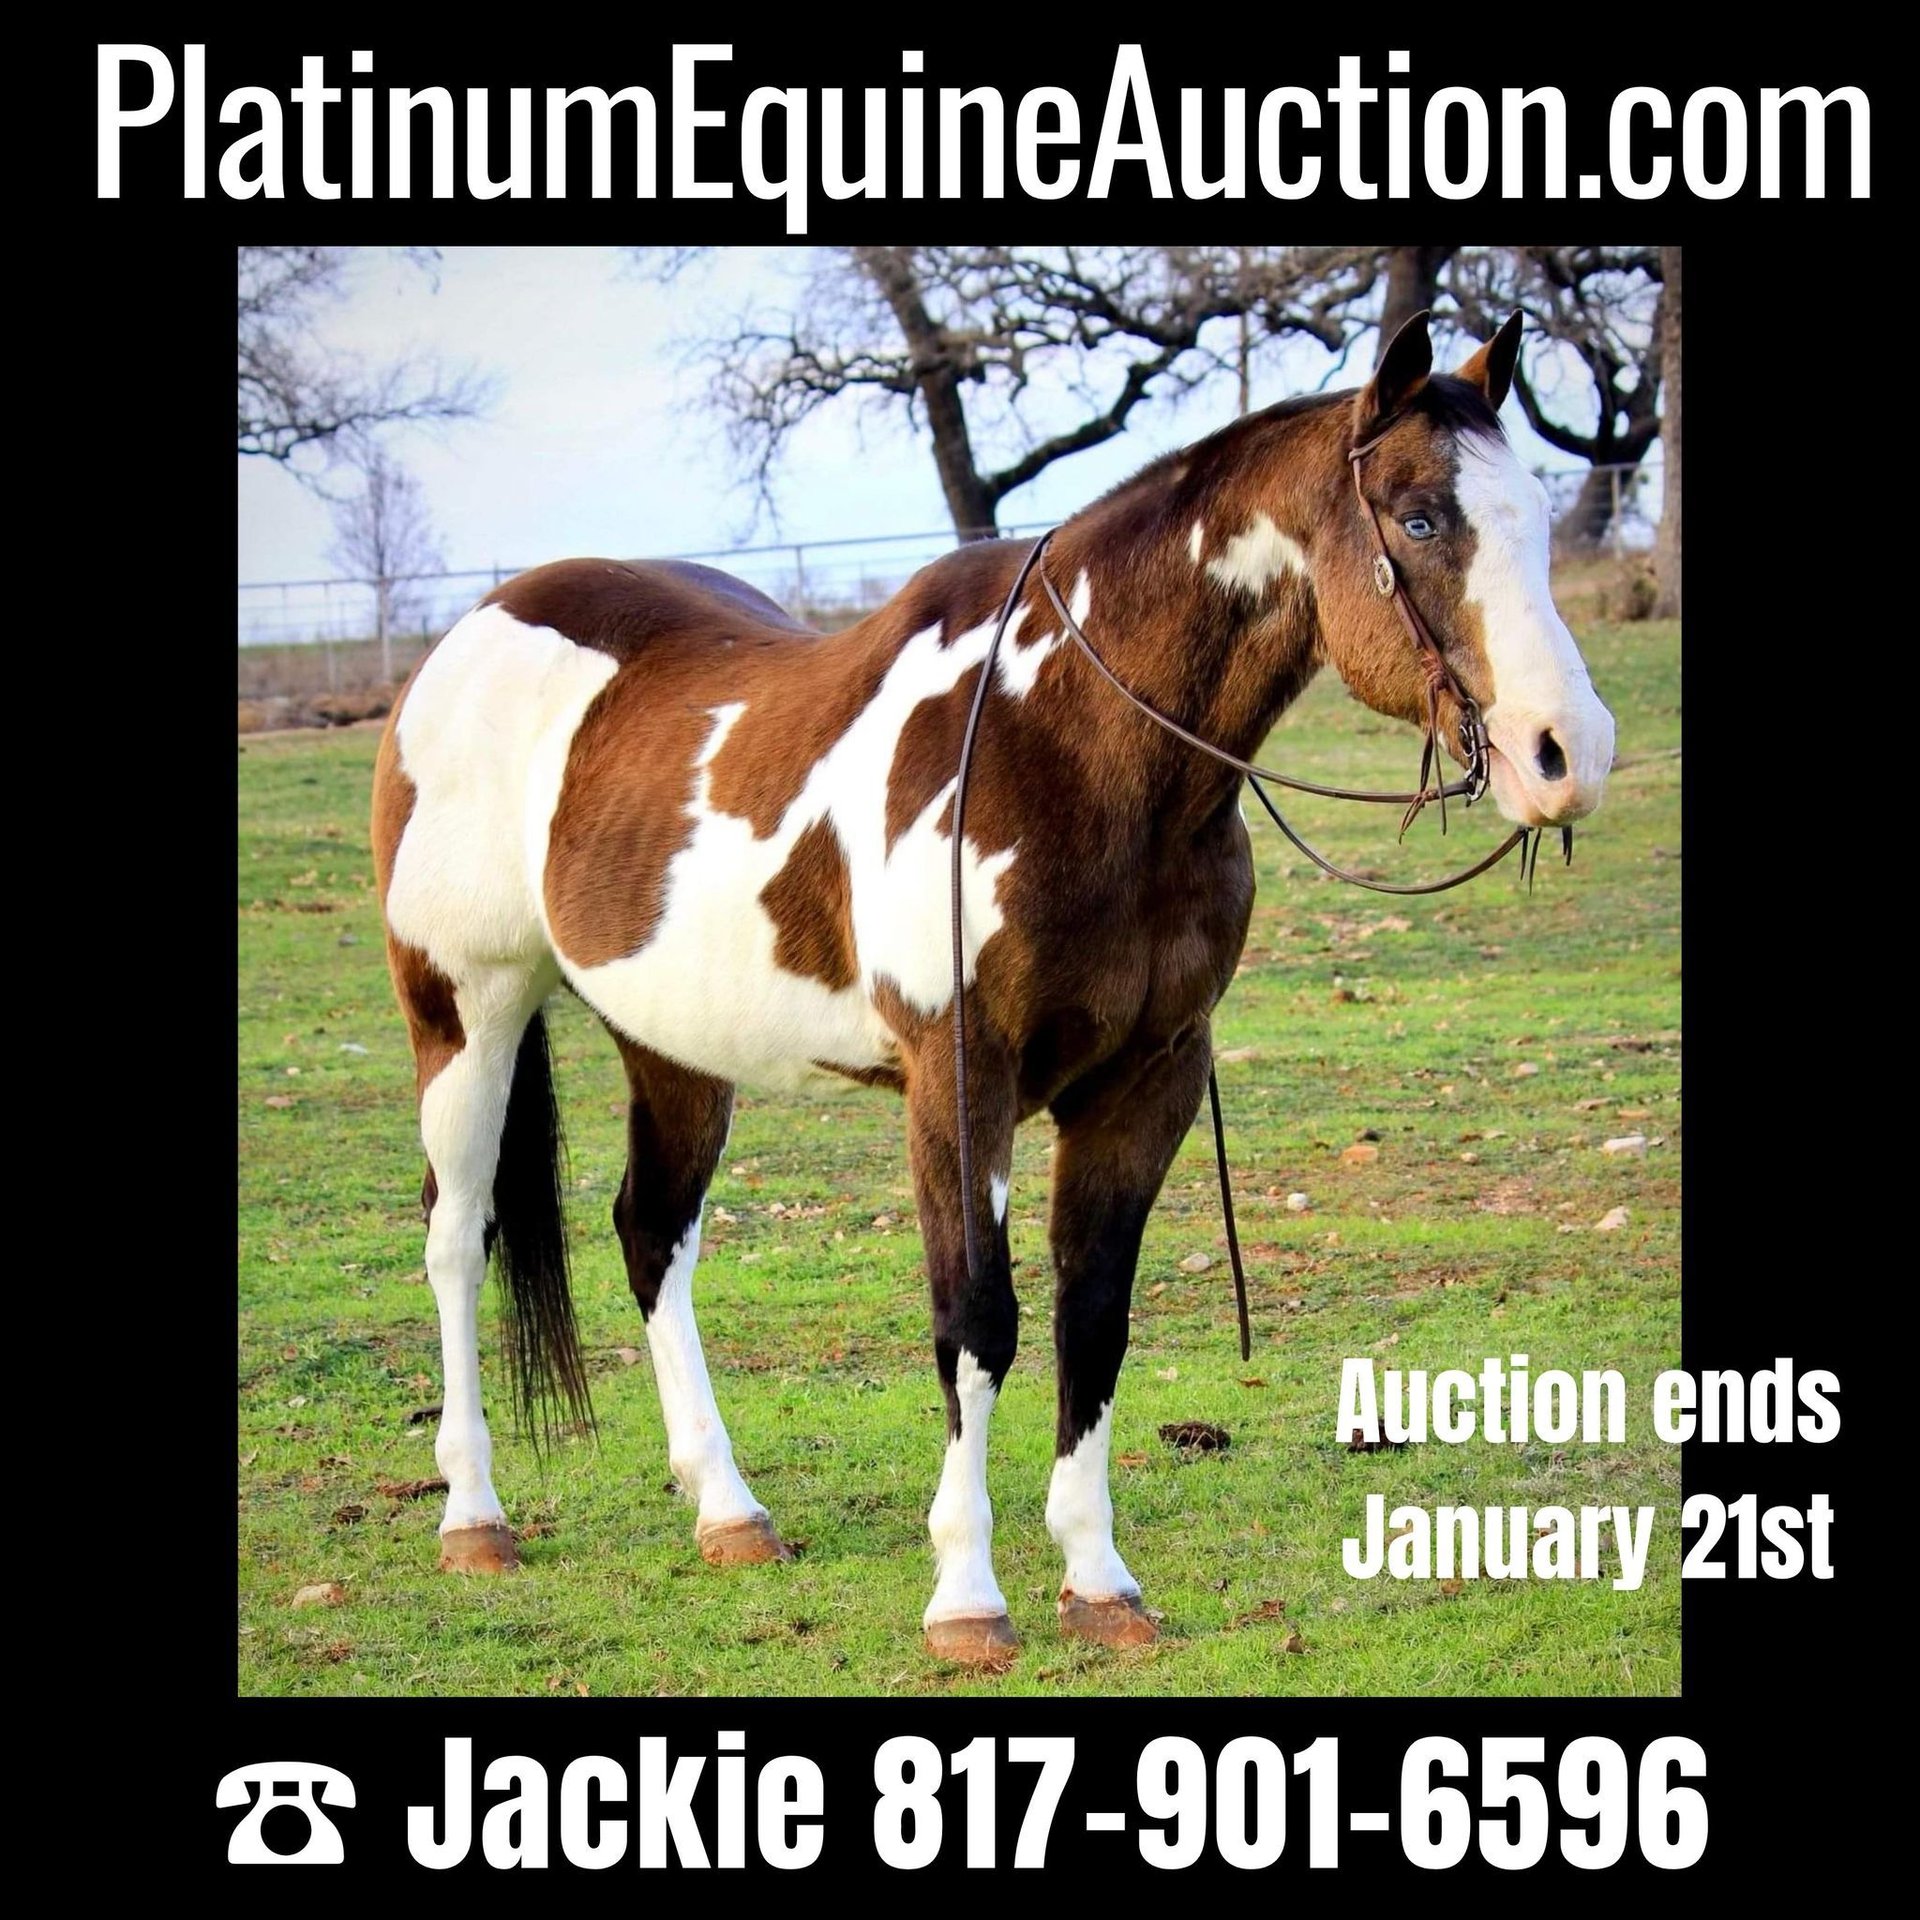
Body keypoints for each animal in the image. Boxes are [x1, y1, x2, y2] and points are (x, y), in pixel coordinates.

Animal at [370, 310, 1615, 1666]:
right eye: (1423, 518)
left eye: (1534, 513)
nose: (1569, 753)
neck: (1068, 744)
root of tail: (477, 630)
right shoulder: (960, 1084)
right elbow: (977, 1318)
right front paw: (968, 1598)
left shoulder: (1143, 1084)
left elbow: (1093, 1317)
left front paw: (1099, 1584)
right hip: (464, 1012)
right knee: (457, 1238)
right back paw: (475, 1518)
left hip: (675, 1047)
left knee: (654, 1233)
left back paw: (728, 1512)